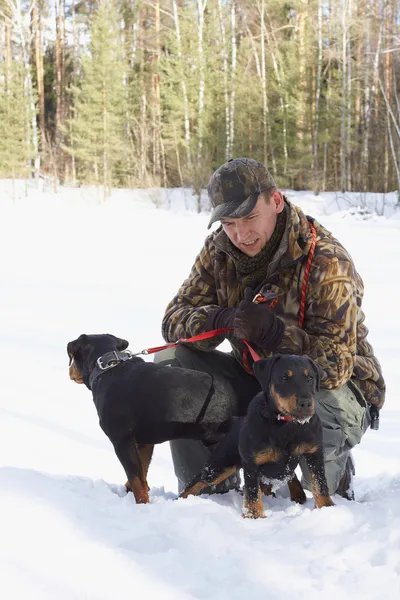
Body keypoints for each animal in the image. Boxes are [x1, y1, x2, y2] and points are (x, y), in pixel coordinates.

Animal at [67, 336, 239, 504]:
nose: (69, 371)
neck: (108, 368)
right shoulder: (145, 442)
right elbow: (142, 472)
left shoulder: (122, 440)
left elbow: (135, 477)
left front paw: (141, 504)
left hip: (222, 455)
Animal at [181, 354, 334, 516]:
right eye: (284, 377)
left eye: (310, 377)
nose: (305, 403)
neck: (285, 424)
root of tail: (235, 421)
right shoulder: (252, 462)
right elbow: (253, 492)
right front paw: (254, 516)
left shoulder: (315, 454)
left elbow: (320, 483)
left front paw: (327, 507)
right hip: (221, 463)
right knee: (197, 482)